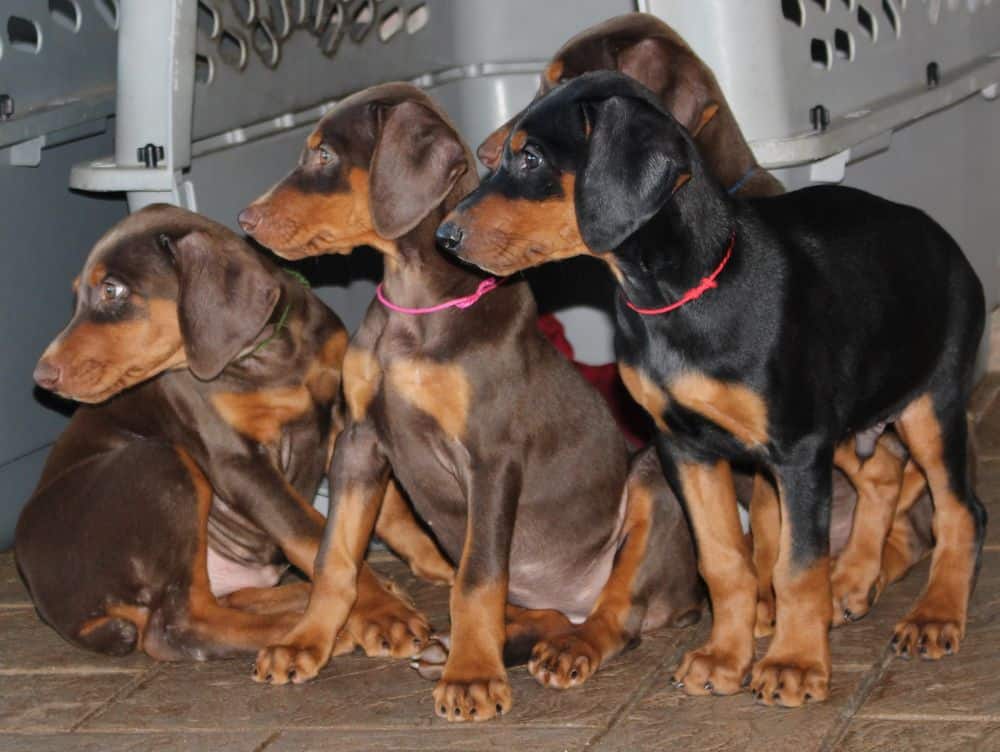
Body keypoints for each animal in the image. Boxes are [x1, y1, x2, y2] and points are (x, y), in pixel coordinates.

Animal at [16, 204, 450, 656]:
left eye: (111, 290)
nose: (42, 376)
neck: (269, 357)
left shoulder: (342, 423)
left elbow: (384, 513)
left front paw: (442, 567)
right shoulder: (237, 462)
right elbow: (313, 533)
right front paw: (383, 614)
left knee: (224, 600)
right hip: (159, 461)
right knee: (178, 626)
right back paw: (318, 629)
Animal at [238, 83, 704, 724]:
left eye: (325, 155)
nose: (245, 219)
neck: (416, 311)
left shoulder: (490, 455)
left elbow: (476, 578)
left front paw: (473, 678)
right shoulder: (359, 441)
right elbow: (335, 558)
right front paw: (305, 642)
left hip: (651, 486)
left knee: (619, 614)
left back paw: (564, 649)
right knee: (545, 611)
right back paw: (485, 644)